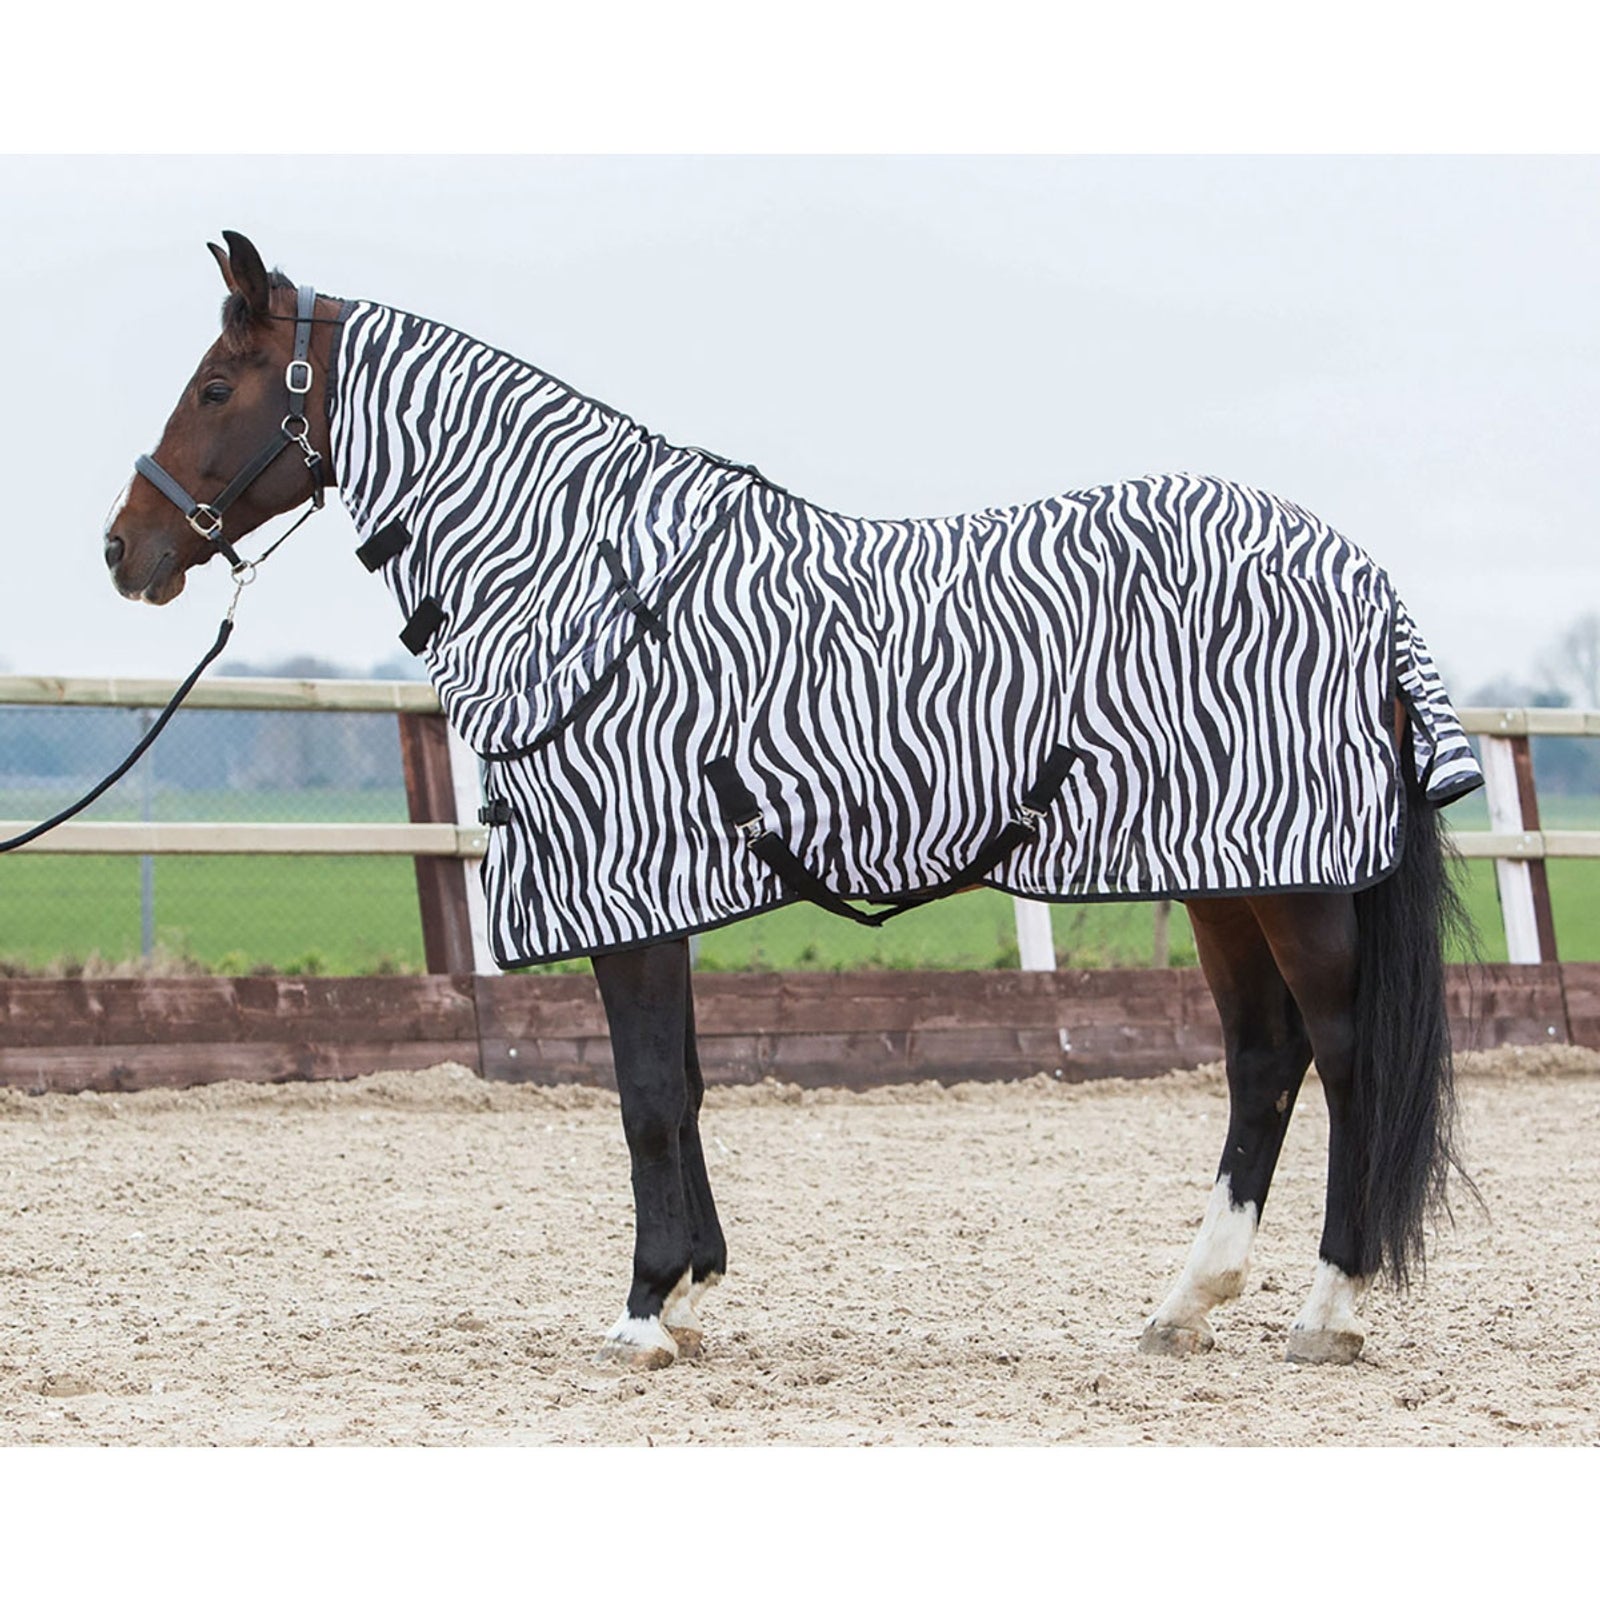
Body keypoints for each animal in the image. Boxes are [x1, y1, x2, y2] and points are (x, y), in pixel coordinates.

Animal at [103, 231, 1480, 1370]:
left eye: (216, 388)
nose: (125, 550)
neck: (582, 578)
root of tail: (1361, 575)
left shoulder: (626, 888)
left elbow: (648, 1096)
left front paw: (644, 1310)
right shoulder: (651, 895)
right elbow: (685, 1084)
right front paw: (692, 1284)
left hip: (1296, 885)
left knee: (1344, 1058)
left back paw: (1327, 1309)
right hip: (1222, 877)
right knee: (1262, 1061)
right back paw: (1185, 1303)